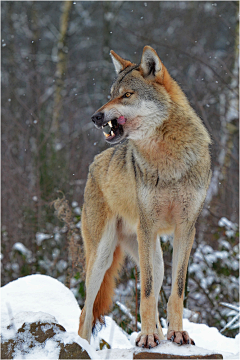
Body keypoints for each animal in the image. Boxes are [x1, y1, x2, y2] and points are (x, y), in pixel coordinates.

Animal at [78, 46, 211, 348]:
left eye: (127, 94)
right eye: (111, 93)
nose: (95, 117)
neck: (168, 158)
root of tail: (95, 163)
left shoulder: (187, 228)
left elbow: (176, 292)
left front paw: (177, 334)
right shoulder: (148, 227)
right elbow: (147, 293)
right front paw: (149, 335)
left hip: (154, 257)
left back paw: (158, 336)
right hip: (103, 256)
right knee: (85, 313)